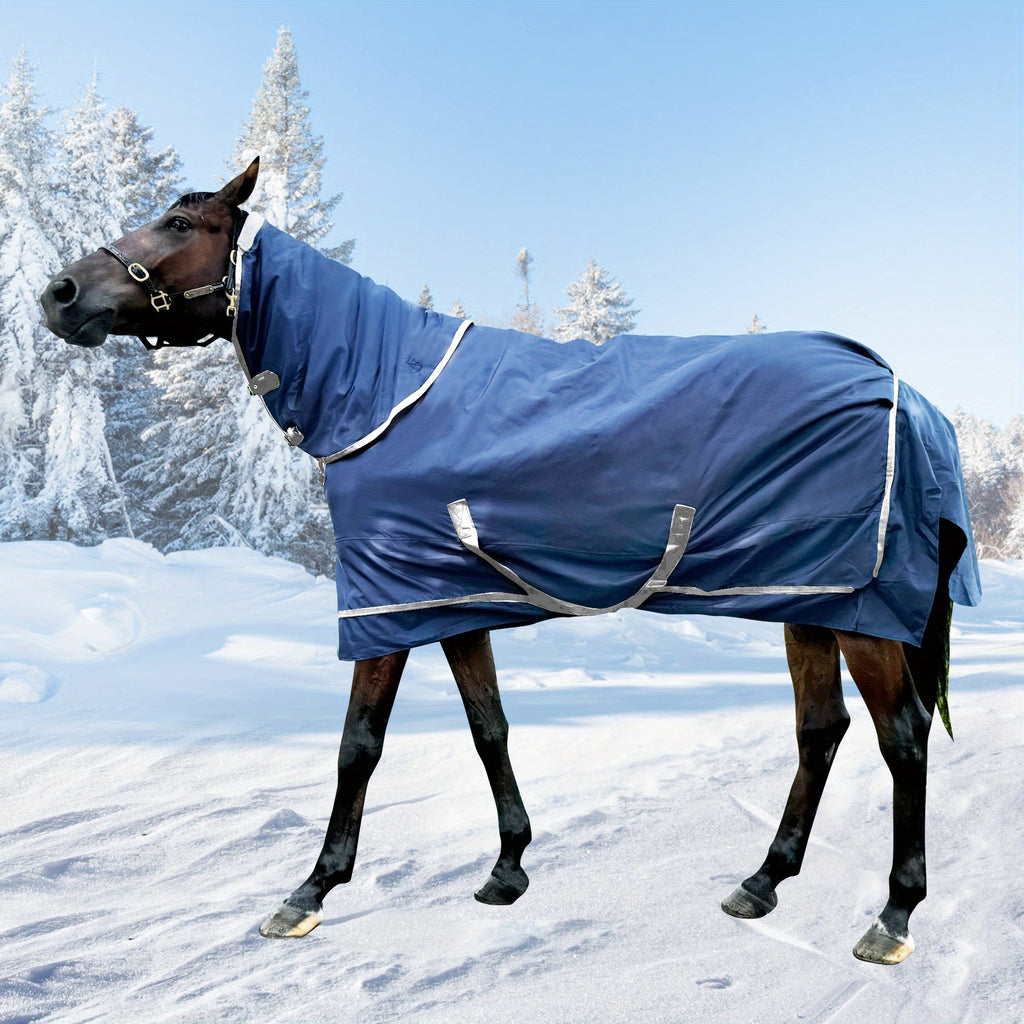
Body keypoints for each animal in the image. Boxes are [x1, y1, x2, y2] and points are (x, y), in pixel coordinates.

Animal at [40, 158, 981, 965]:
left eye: (178, 223)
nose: (58, 293)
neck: (383, 391)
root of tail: (906, 393)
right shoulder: (447, 601)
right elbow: (486, 725)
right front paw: (508, 867)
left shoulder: (385, 606)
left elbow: (358, 744)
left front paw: (310, 890)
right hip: (810, 597)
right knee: (821, 730)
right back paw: (762, 881)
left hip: (861, 612)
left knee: (902, 740)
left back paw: (893, 915)